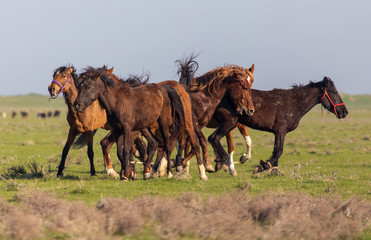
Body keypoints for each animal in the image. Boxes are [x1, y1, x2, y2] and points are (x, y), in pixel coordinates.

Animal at [73, 70, 209, 181]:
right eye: (80, 86)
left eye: (88, 86)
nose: (76, 105)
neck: (118, 101)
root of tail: (165, 89)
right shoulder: (117, 131)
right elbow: (120, 152)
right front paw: (126, 174)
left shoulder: (127, 130)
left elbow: (126, 150)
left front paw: (127, 174)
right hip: (145, 127)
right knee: (154, 143)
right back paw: (148, 173)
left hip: (164, 123)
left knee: (168, 144)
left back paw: (170, 173)